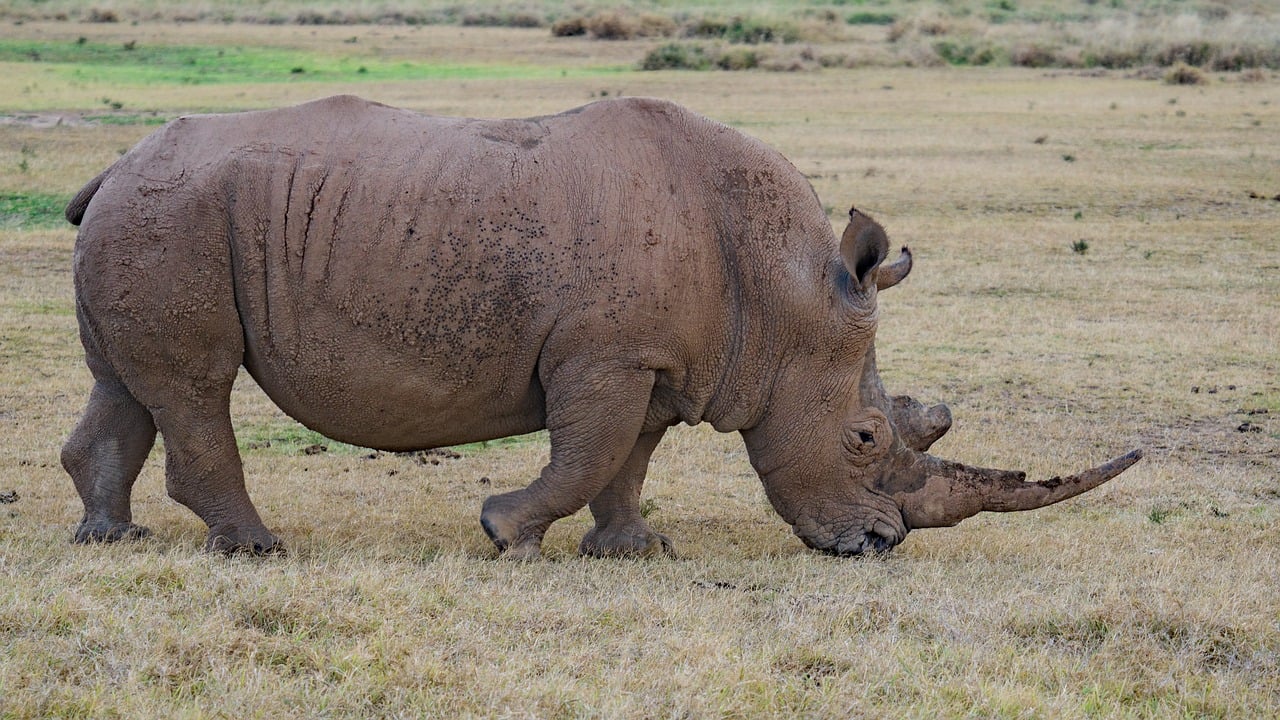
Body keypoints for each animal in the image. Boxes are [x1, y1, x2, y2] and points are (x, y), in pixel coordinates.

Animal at [61, 95, 1141, 557]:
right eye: (867, 437)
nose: (880, 546)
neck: (784, 295)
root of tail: (108, 167)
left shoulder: (663, 360)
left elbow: (629, 460)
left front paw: (631, 551)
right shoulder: (606, 356)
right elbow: (585, 452)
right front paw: (505, 532)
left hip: (151, 218)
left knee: (129, 386)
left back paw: (109, 538)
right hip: (177, 219)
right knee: (194, 386)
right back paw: (257, 549)